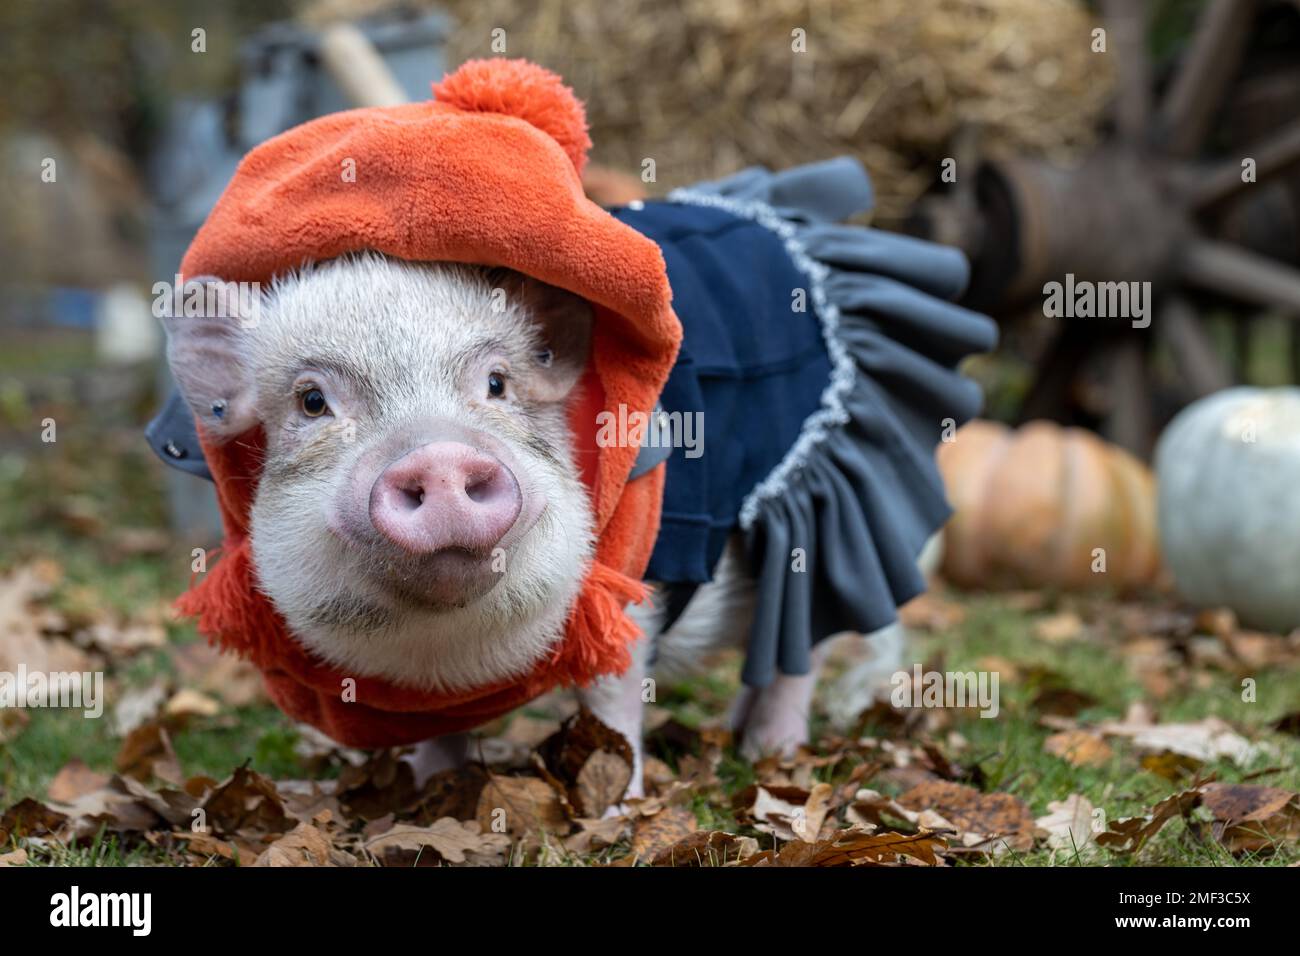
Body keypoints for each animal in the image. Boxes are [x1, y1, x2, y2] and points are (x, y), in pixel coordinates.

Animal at [162, 251, 894, 796]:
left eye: (496, 384)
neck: (447, 645)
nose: (439, 455)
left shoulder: (628, 596)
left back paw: (772, 751)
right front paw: (428, 789)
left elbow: (612, 698)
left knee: (801, 648)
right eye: (312, 401)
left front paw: (618, 809)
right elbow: (441, 734)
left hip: (813, 523)